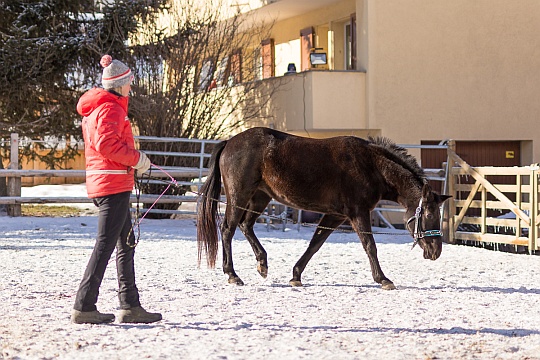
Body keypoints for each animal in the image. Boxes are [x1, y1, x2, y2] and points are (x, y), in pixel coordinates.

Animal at [196, 126, 450, 290]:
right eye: (429, 214)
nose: (436, 251)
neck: (371, 165)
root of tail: (229, 142)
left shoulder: (335, 215)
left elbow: (315, 244)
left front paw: (296, 276)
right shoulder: (358, 213)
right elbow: (370, 246)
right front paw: (383, 279)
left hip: (260, 197)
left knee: (245, 225)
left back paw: (262, 264)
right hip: (239, 196)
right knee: (228, 229)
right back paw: (232, 274)